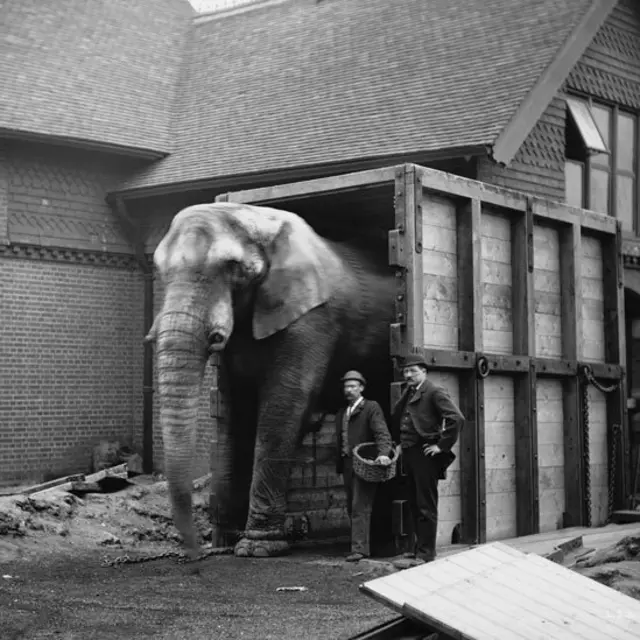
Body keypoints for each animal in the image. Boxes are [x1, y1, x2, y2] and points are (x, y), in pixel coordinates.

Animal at [146, 202, 396, 556]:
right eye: (159, 270)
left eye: (233, 267)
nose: (195, 554)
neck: (259, 220)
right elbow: (238, 409)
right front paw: (232, 543)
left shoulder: (312, 320)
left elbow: (282, 406)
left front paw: (256, 548)